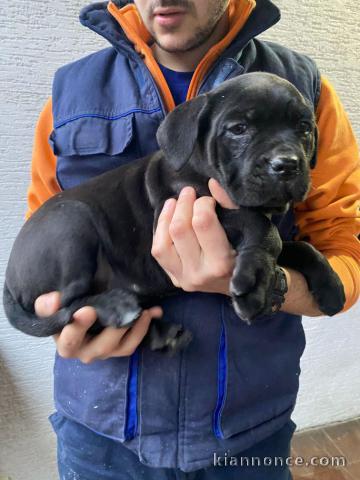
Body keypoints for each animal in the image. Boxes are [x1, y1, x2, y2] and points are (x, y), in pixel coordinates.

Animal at [3, 74, 346, 352]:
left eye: (304, 128)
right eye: (239, 129)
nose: (286, 164)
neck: (201, 167)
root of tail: (8, 279)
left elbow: (299, 245)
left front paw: (330, 285)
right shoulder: (186, 207)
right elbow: (263, 226)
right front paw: (256, 283)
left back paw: (159, 333)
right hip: (72, 222)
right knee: (69, 304)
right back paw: (115, 306)